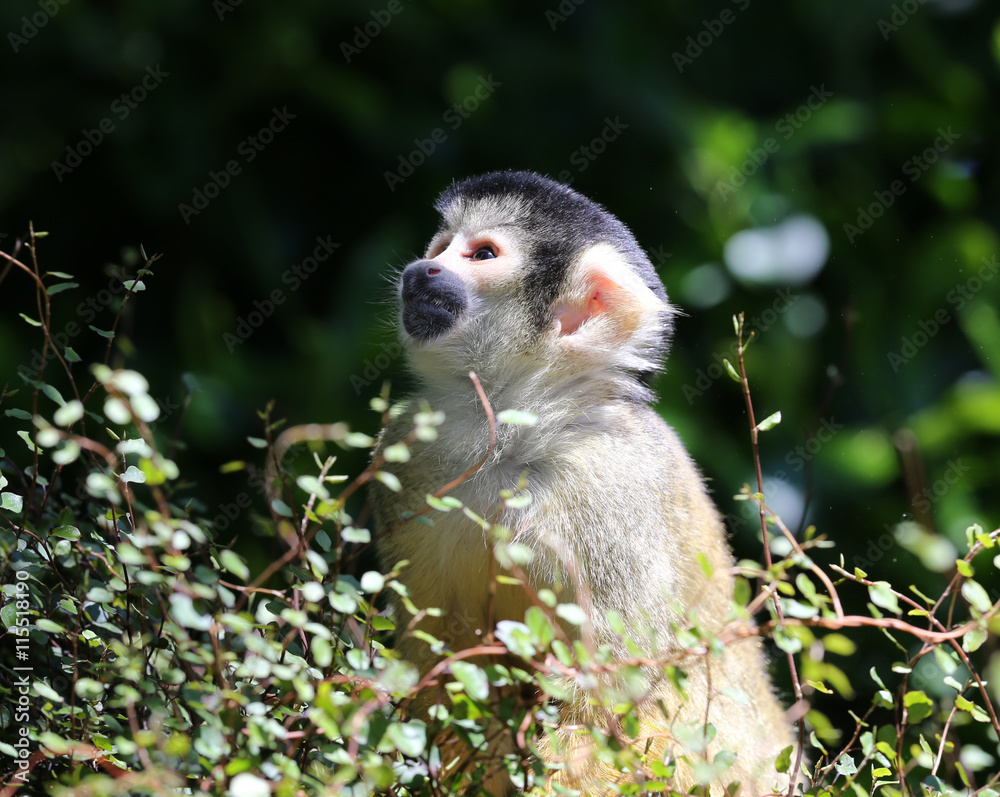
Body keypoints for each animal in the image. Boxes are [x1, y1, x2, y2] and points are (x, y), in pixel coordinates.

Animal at [369, 171, 798, 795]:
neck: (515, 436)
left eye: (482, 254)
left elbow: (616, 690)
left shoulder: (612, 483)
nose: (422, 269)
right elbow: (440, 647)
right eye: (442, 246)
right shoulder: (408, 448)